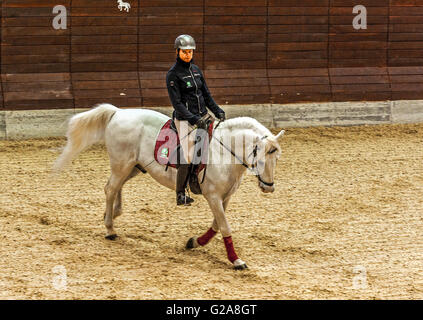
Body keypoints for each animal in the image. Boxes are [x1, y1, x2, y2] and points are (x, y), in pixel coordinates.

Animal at [53, 104, 284, 268]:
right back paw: (110, 228)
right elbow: (225, 226)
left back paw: (111, 214)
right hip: (122, 163)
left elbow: (217, 226)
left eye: (277, 158)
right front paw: (236, 260)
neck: (224, 152)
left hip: (134, 167)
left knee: (114, 187)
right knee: (110, 188)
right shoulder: (213, 196)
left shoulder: (225, 197)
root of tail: (118, 112)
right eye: (261, 158)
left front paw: (194, 242)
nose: (269, 187)